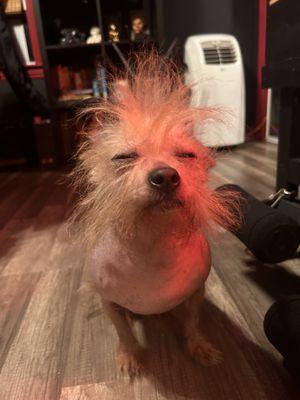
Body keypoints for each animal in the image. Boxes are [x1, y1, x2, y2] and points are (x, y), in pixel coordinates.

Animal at [71, 52, 239, 378]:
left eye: (186, 155)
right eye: (124, 157)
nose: (165, 176)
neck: (153, 242)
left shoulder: (195, 294)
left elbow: (193, 323)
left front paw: (198, 346)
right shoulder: (110, 303)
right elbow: (124, 332)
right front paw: (129, 356)